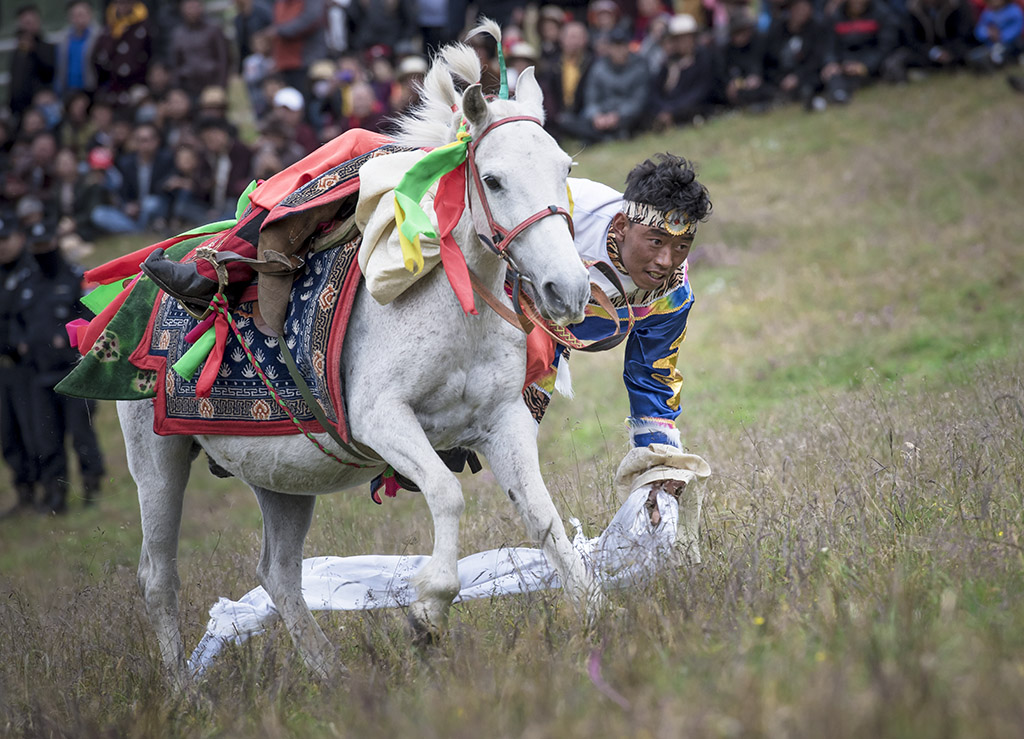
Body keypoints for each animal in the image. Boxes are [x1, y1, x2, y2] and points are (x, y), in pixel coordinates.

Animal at [118, 33, 598, 679]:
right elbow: (447, 495)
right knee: (158, 577)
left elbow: (543, 517)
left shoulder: (504, 420)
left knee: (278, 573)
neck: (452, 304)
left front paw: (590, 617)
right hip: (158, 460)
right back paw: (184, 689)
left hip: (279, 476)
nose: (566, 290)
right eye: (493, 180)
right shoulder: (384, 420)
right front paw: (427, 610)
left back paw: (332, 675)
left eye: (564, 168)